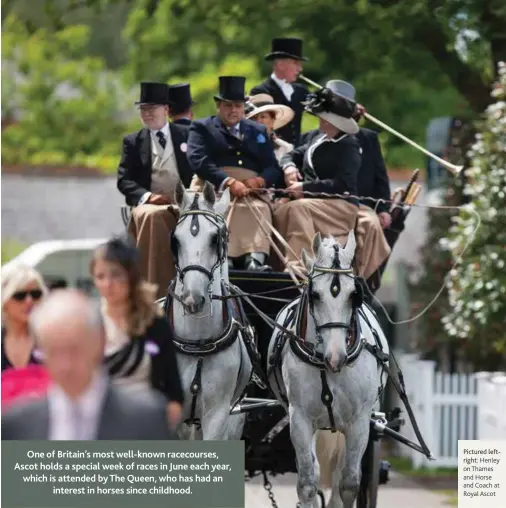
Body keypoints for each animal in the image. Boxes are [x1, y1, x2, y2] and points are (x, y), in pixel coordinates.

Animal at [266, 231, 390, 508]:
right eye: (315, 294)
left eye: (355, 294)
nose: (336, 358)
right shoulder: (299, 419)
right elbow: (308, 483)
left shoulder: (359, 423)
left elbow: (349, 483)